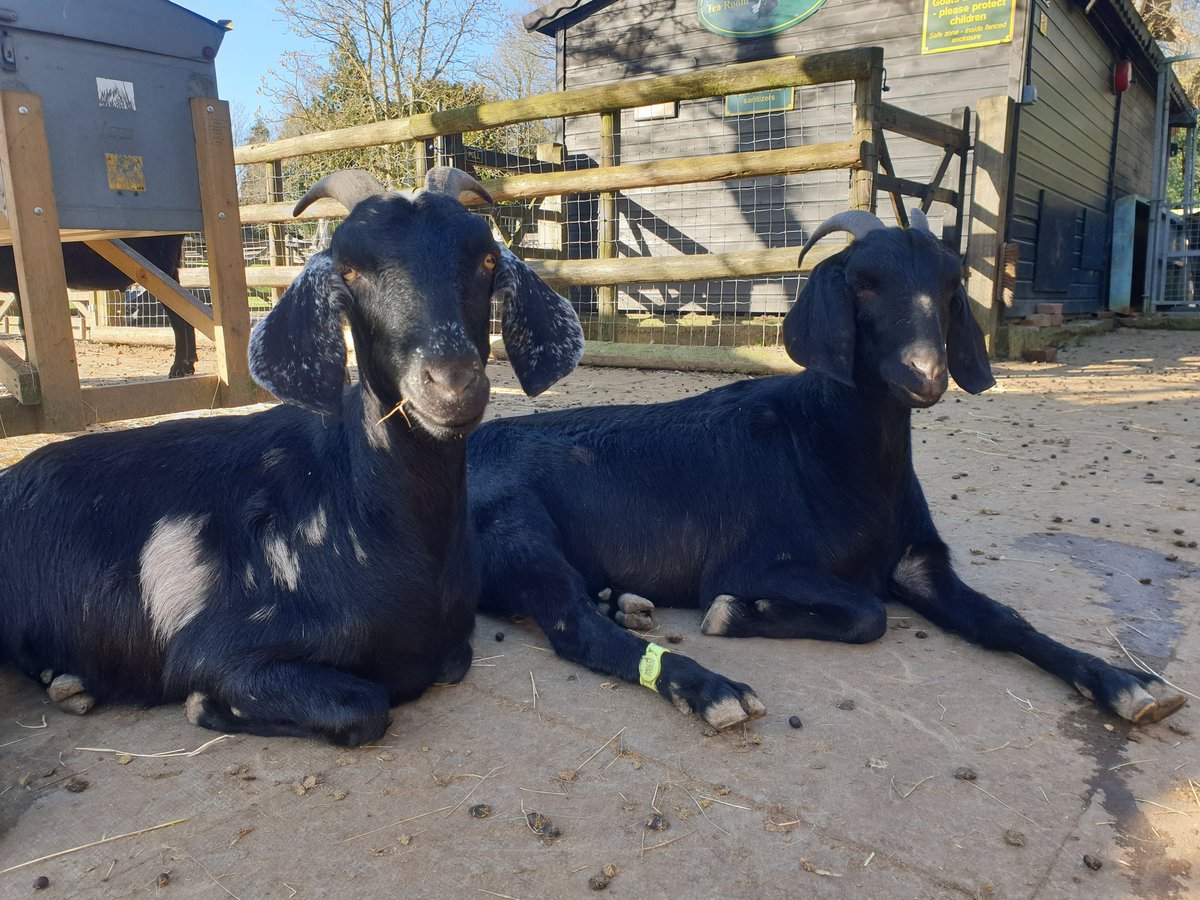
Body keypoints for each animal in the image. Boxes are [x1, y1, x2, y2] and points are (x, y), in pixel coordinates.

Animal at [0, 235, 196, 378]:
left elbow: (24, 328)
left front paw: (27, 364)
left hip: (160, 266)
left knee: (178, 317)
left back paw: (178, 368)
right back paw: (190, 364)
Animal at [467, 210, 1187, 730]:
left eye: (951, 284)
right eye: (864, 282)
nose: (925, 375)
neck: (830, 454)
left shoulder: (918, 565)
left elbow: (1004, 621)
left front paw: (1125, 682)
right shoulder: (751, 561)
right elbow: (866, 612)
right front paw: (734, 614)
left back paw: (627, 603)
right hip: (518, 530)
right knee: (572, 626)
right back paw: (708, 689)